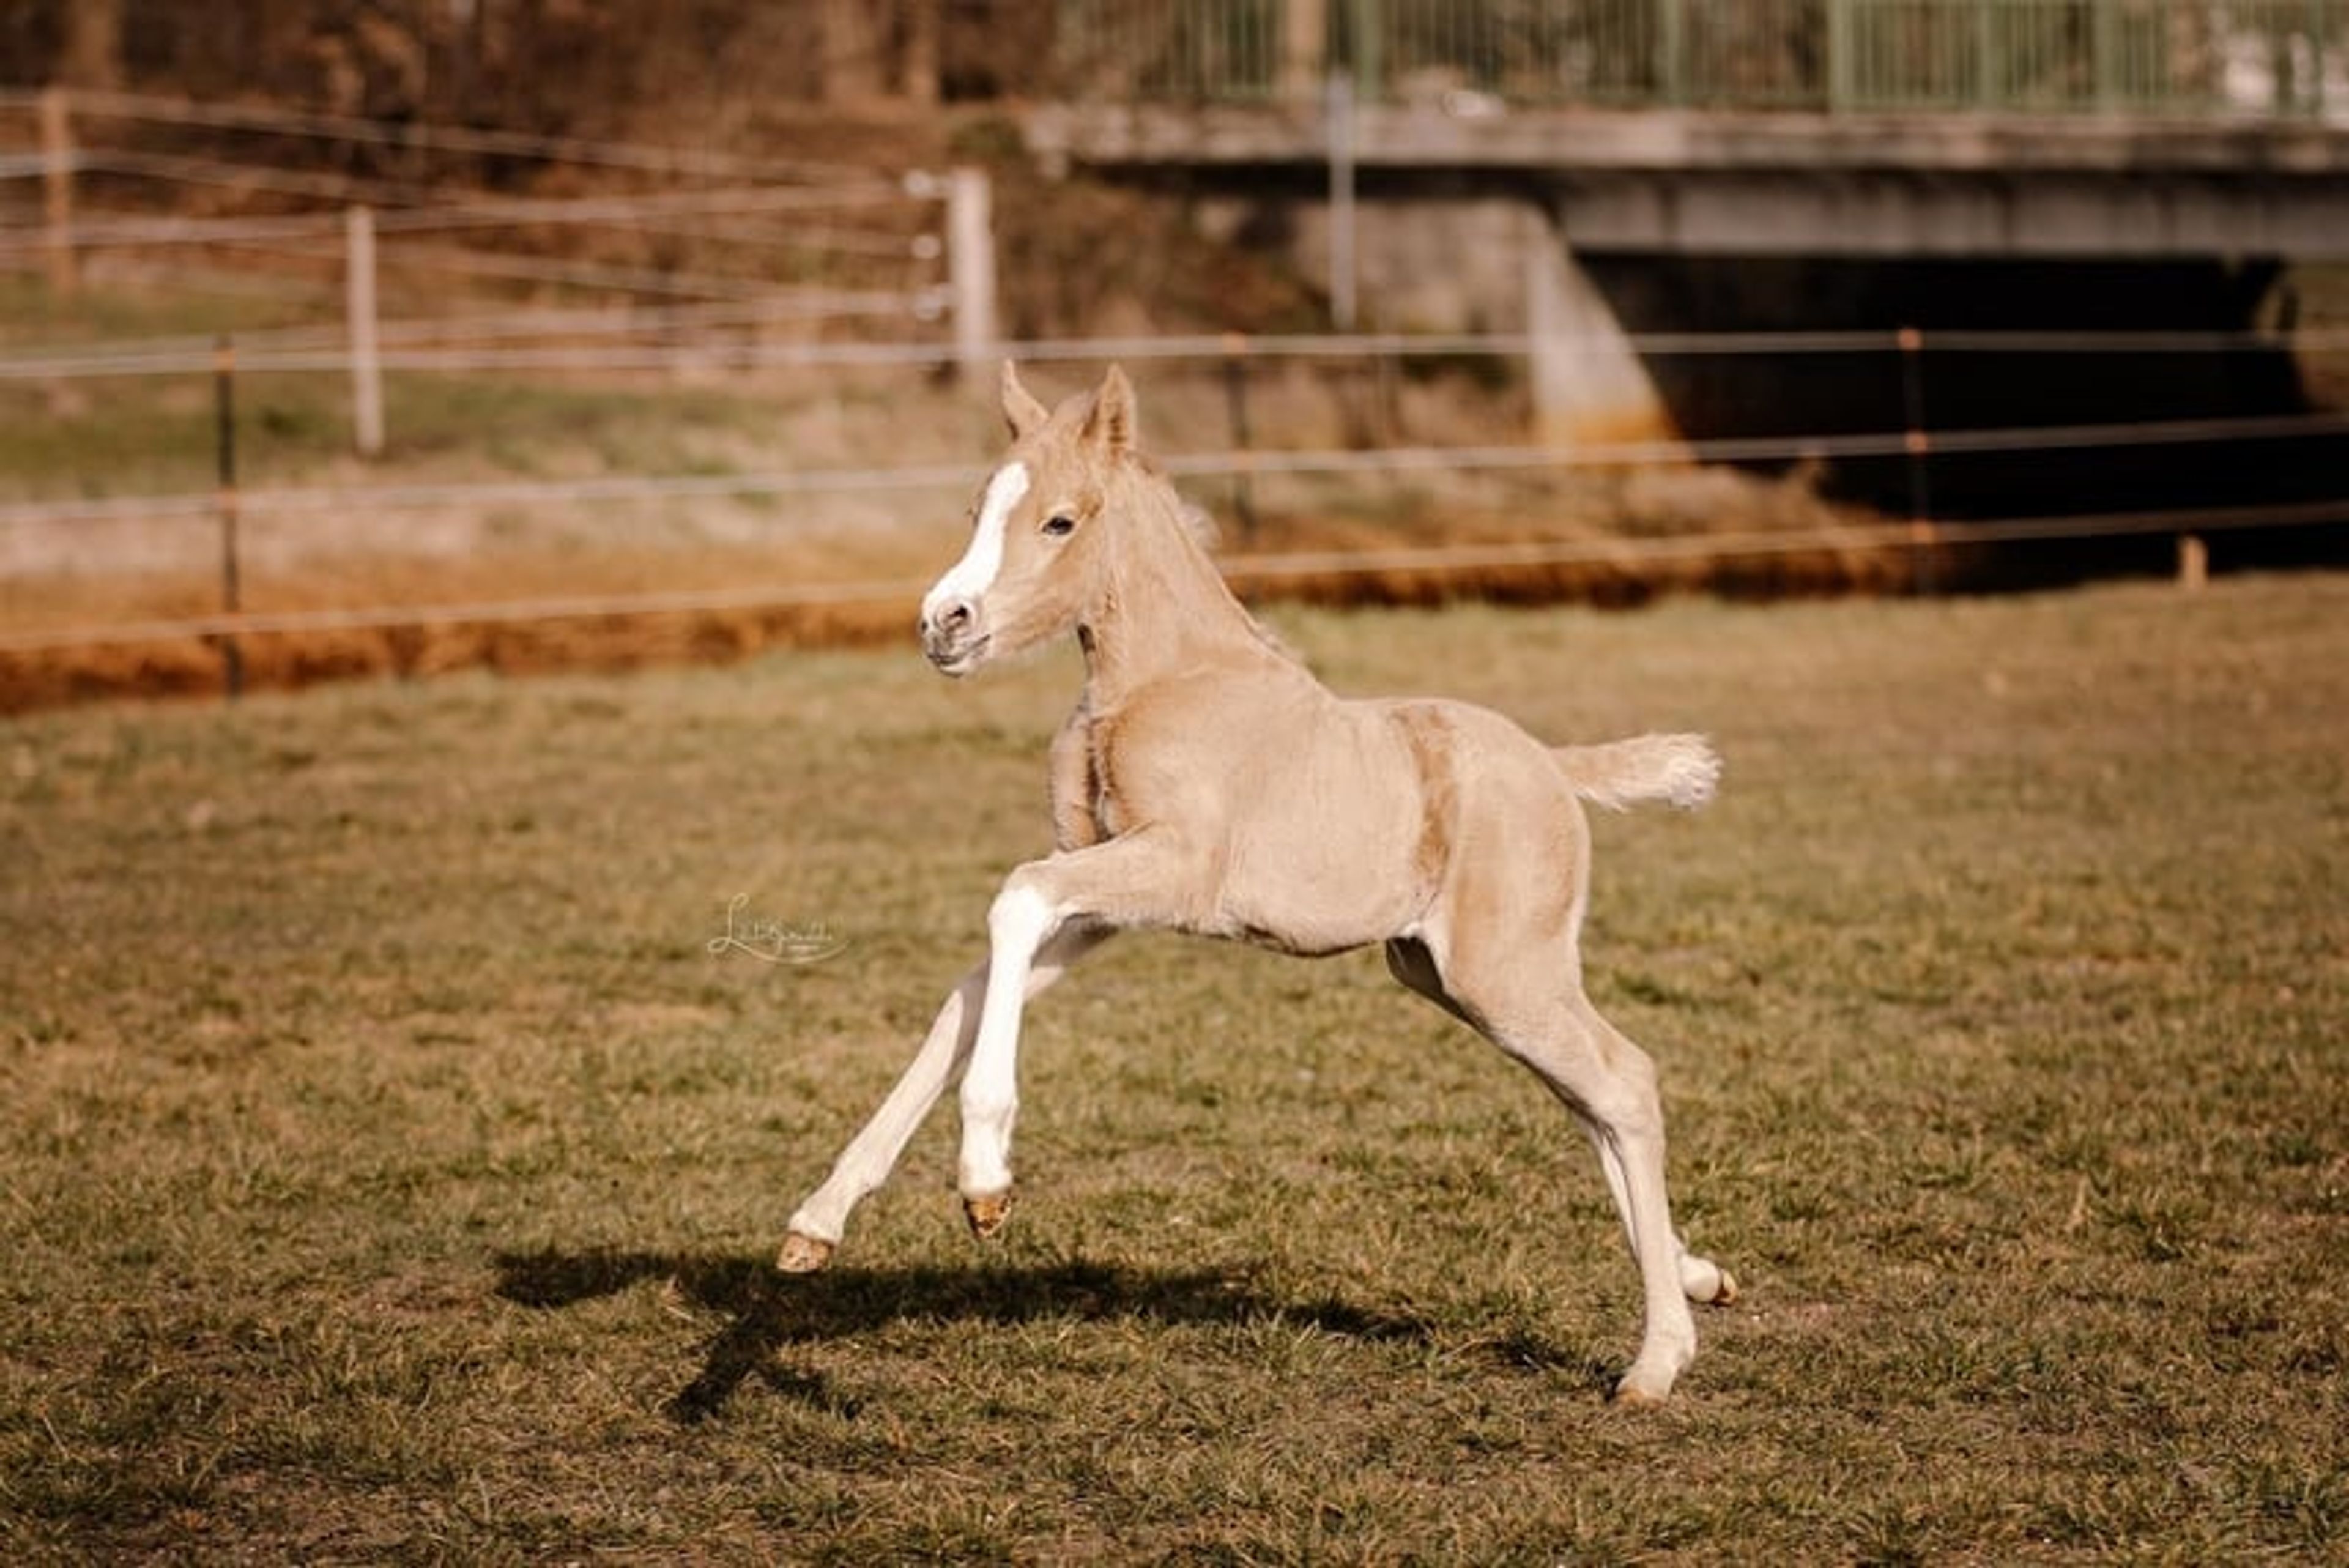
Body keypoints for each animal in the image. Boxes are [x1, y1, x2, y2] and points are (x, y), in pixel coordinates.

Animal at [777, 363, 1738, 1404]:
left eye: (1061, 521)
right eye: (977, 508)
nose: (942, 623)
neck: (1164, 681)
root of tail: (1558, 768)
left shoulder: (1173, 869)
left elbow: (1016, 895)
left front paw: (985, 1186)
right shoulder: (1101, 905)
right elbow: (972, 990)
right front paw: (817, 1222)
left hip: (1503, 972)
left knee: (1624, 1081)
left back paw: (1656, 1358)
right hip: (1456, 976)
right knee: (1589, 1095)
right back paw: (1698, 1275)